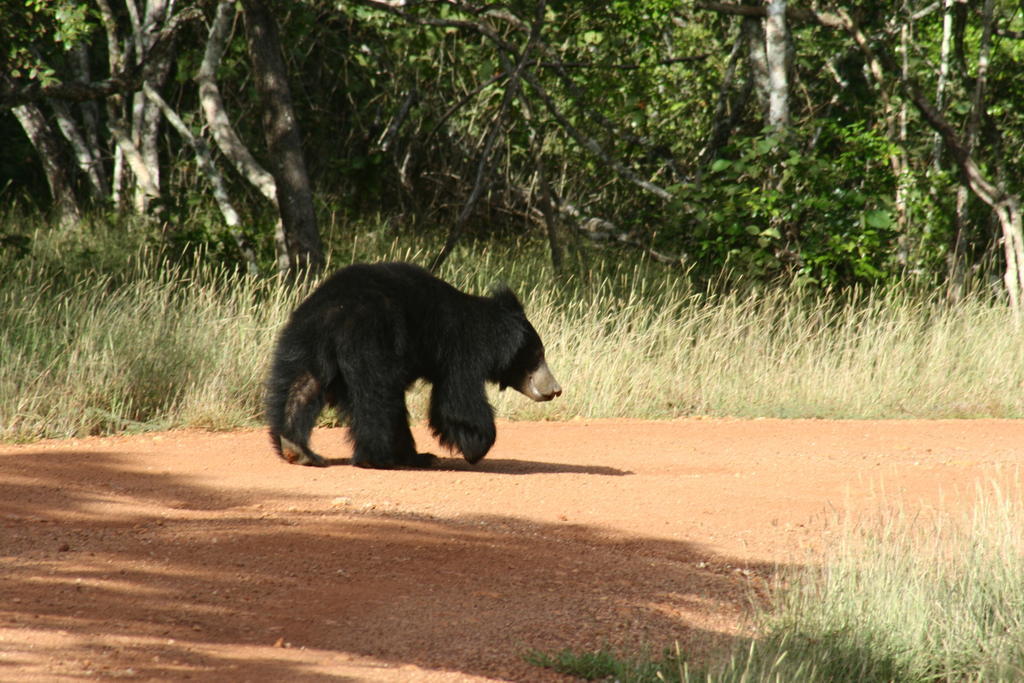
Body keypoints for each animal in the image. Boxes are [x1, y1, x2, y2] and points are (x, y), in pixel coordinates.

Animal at [264, 262, 561, 471]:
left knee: (302, 385)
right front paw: (476, 446)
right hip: (371, 339)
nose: (556, 389)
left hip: (306, 343)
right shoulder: (461, 351)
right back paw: (377, 458)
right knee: (378, 396)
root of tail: (333, 310)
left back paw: (297, 448)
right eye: (538, 355)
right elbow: (458, 402)